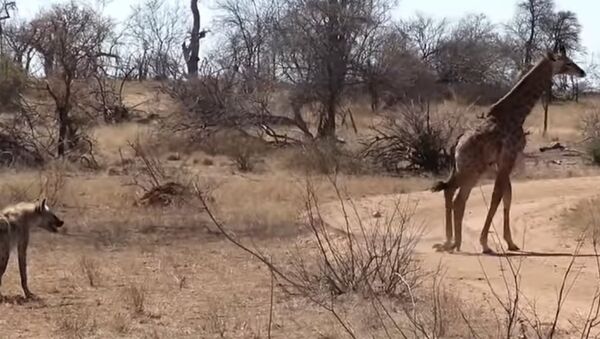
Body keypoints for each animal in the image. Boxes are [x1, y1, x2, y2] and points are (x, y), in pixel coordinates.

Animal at [432, 45, 584, 254]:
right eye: (567, 62)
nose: (582, 72)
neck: (518, 115)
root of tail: (457, 144)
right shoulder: (508, 158)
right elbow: (498, 197)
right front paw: (485, 242)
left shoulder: (503, 162)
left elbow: (507, 196)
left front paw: (511, 242)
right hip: (472, 170)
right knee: (456, 197)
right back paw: (455, 243)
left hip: (462, 168)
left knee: (451, 193)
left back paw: (451, 242)